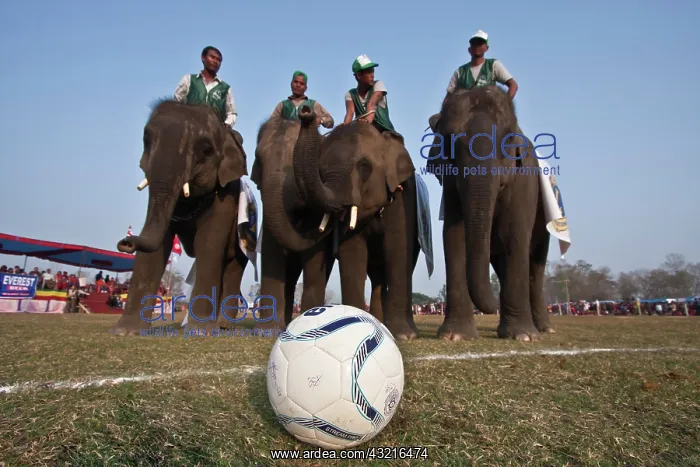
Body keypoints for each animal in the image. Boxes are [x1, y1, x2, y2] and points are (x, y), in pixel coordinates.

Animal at [110, 98, 250, 336]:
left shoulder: (226, 197)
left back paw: (222, 326)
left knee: (232, 266)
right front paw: (126, 331)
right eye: (146, 141)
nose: (126, 242)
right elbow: (157, 247)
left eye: (205, 149)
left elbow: (208, 244)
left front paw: (200, 332)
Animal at [291, 104, 431, 340]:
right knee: (376, 276)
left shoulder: (404, 196)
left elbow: (397, 249)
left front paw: (404, 336)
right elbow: (353, 251)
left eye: (364, 166)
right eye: (321, 170)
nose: (306, 111)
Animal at [425, 85, 553, 341]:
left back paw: (543, 328)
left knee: (535, 265)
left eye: (506, 142)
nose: (491, 307)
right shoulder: (450, 184)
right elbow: (453, 236)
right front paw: (455, 336)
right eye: (450, 143)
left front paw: (523, 336)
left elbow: (515, 235)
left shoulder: (523, 181)